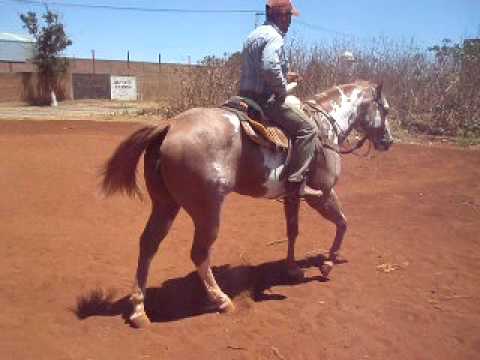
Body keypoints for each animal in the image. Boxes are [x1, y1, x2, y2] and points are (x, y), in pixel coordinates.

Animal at [101, 80, 394, 328]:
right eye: (386, 109)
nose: (388, 141)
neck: (324, 126)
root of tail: (171, 125)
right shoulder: (322, 194)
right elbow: (343, 223)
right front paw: (327, 265)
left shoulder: (293, 196)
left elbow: (293, 230)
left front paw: (293, 268)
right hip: (208, 210)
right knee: (199, 253)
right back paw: (221, 300)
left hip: (165, 205)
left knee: (148, 244)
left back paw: (139, 310)